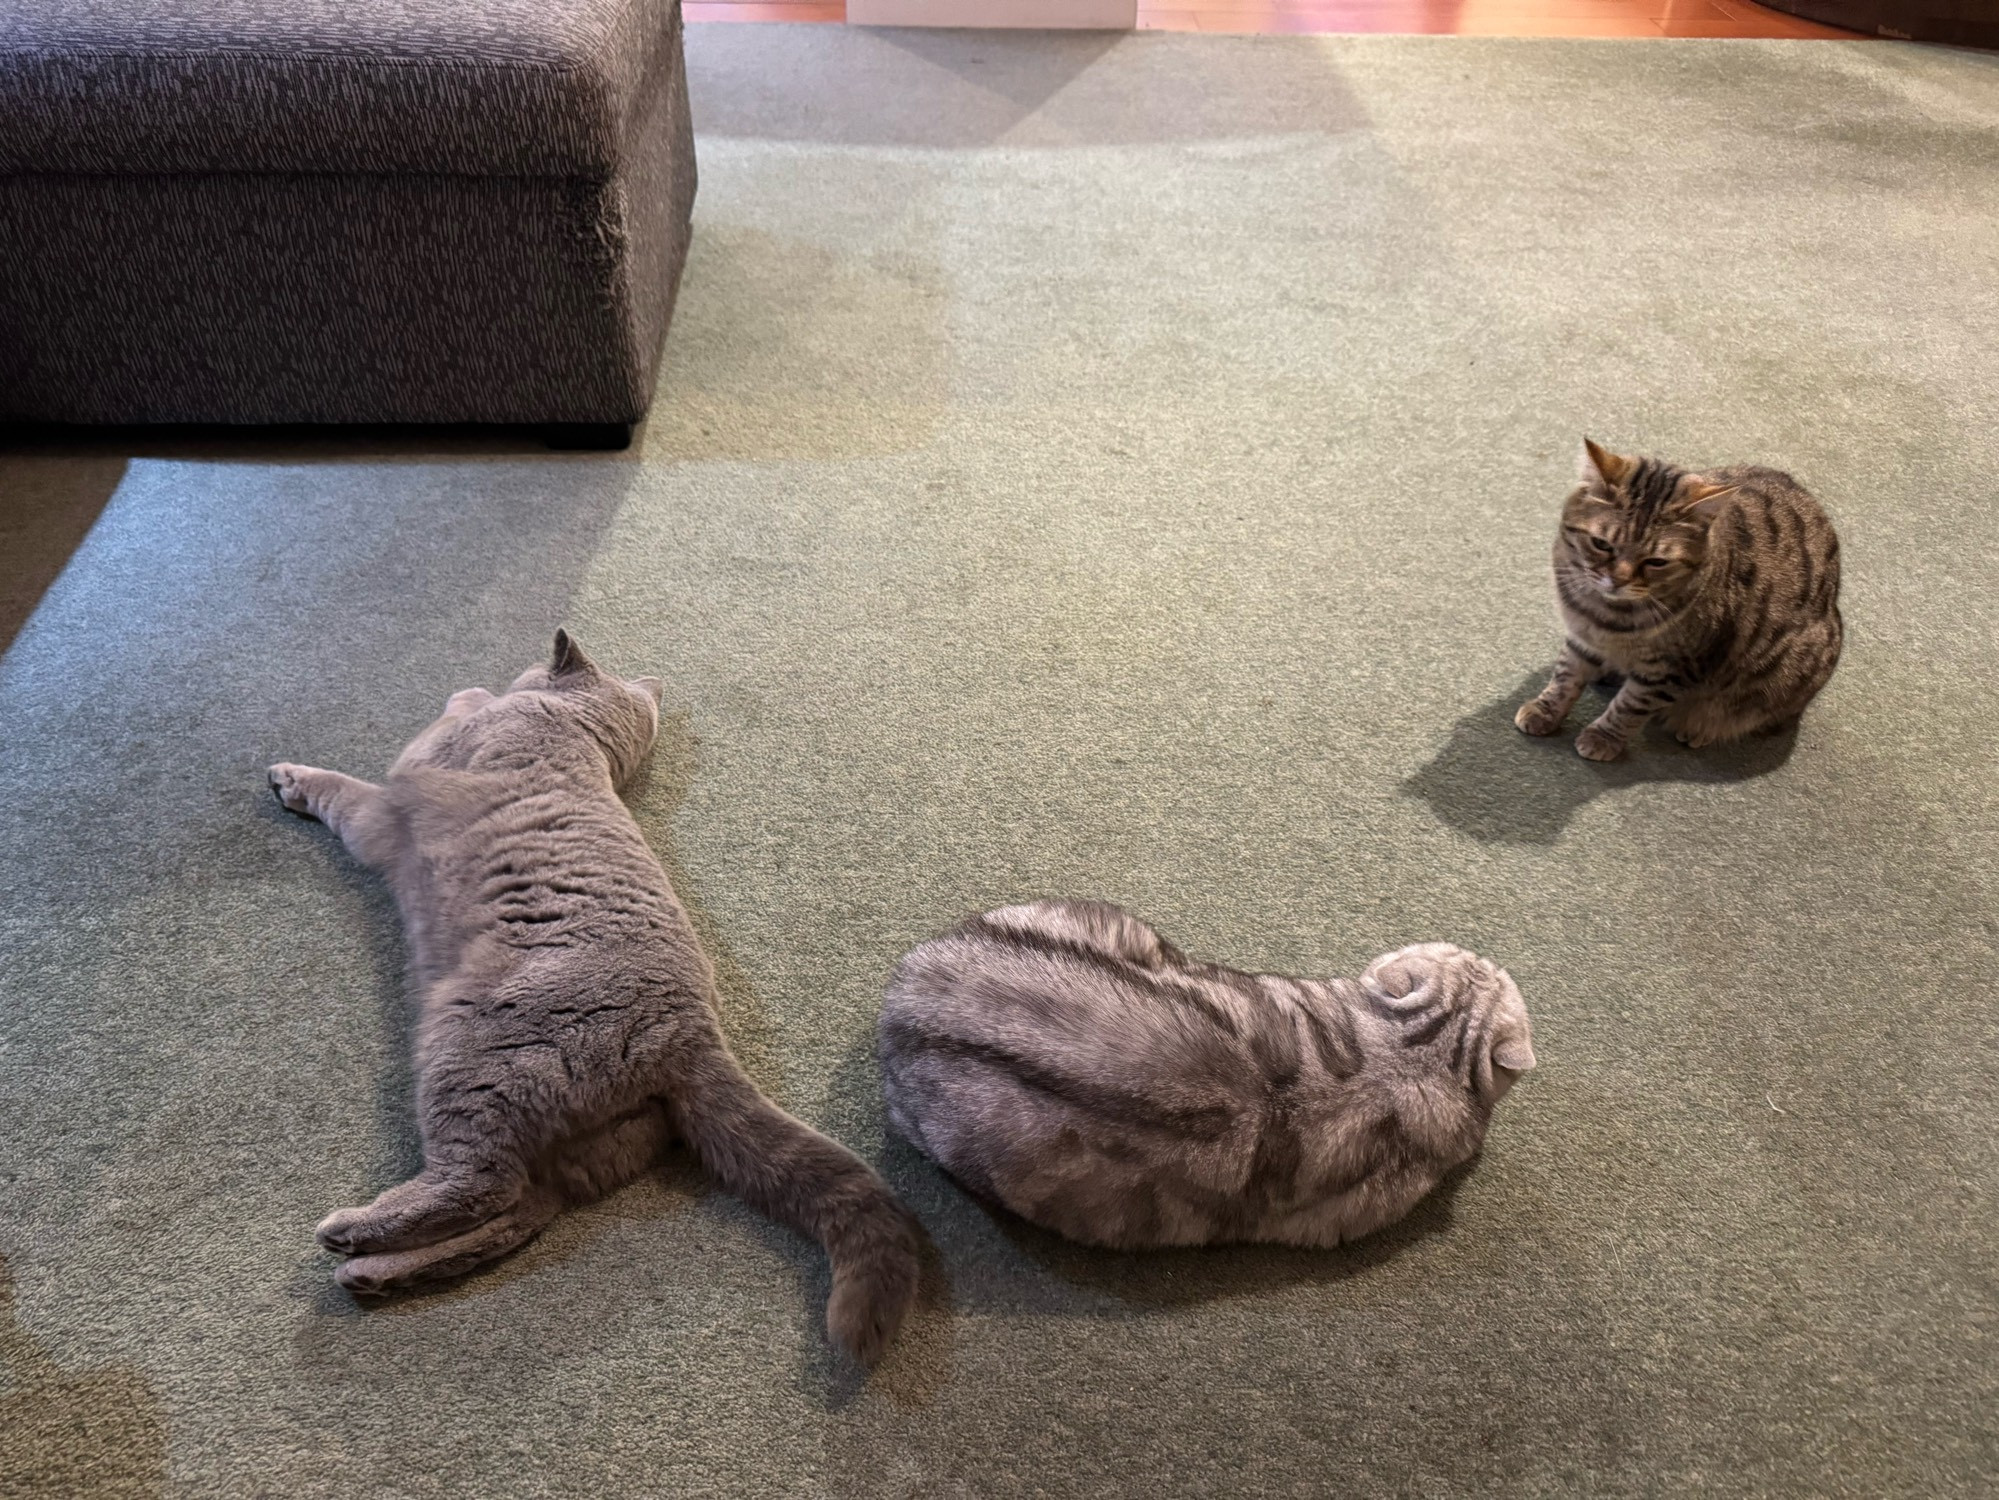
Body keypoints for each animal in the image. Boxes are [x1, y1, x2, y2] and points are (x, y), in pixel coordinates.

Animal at [269, 632, 915, 1360]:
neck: (581, 740)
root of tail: (692, 1037)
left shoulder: (391, 798)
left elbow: (345, 787)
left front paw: (300, 774)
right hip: (584, 1146)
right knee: (517, 1214)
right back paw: (376, 1276)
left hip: (469, 1054)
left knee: (479, 1186)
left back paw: (351, 1233)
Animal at [1519, 438, 1847, 764]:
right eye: (1601, 544)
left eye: (1656, 561)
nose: (1618, 580)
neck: (1606, 616)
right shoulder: (1581, 637)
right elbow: (1565, 677)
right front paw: (1545, 710)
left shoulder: (1670, 671)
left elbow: (1628, 707)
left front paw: (1603, 736)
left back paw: (1699, 729)